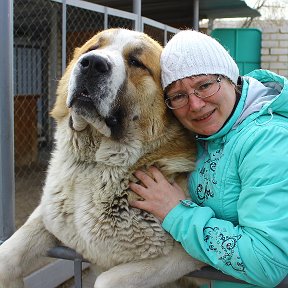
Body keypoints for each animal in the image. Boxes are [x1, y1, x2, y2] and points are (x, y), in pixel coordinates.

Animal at [0, 28, 202, 288]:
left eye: (135, 62)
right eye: (92, 49)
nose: (93, 64)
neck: (95, 165)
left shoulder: (184, 256)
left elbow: (106, 279)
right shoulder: (48, 213)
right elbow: (7, 256)